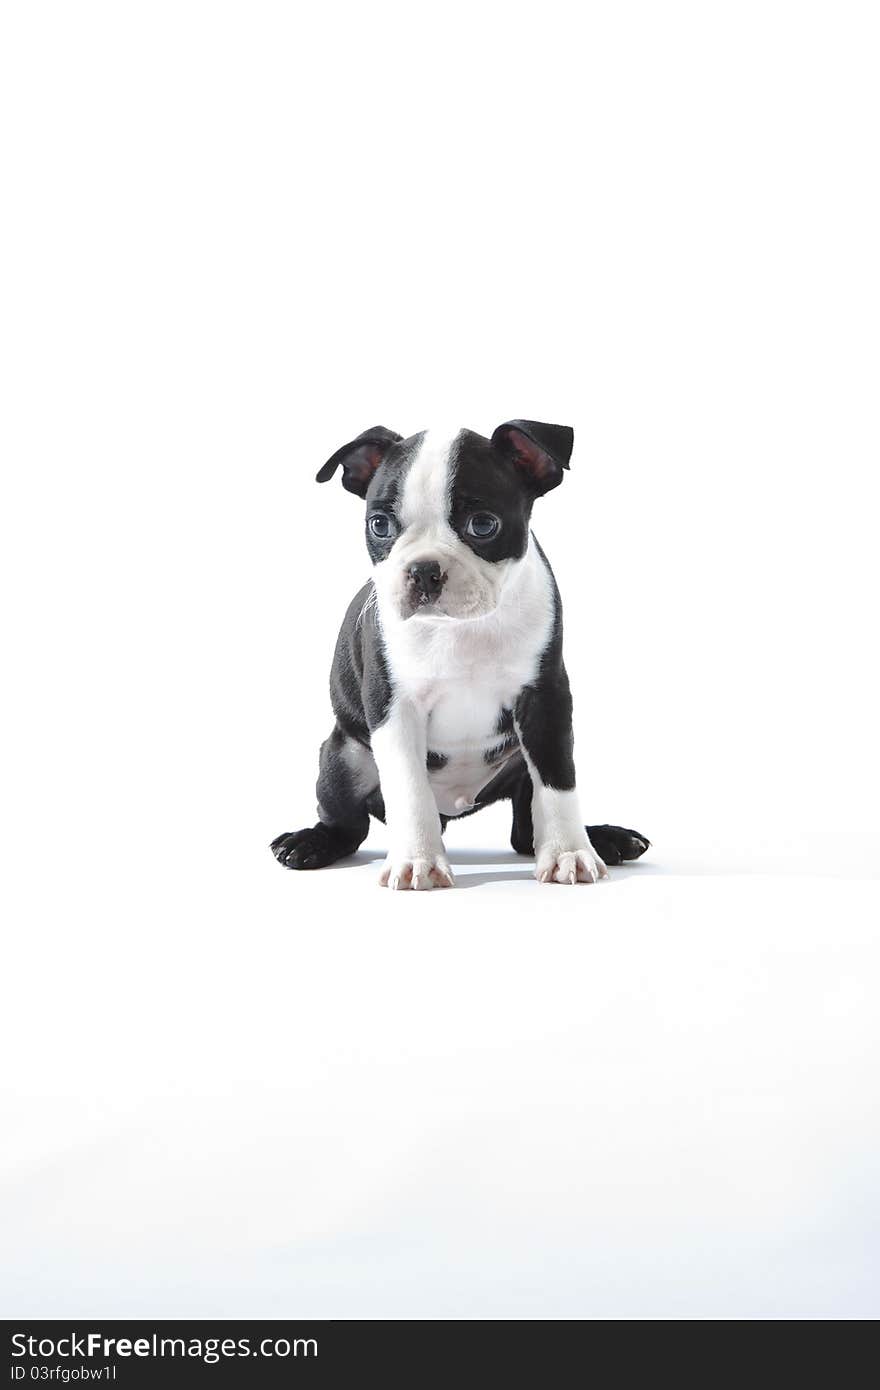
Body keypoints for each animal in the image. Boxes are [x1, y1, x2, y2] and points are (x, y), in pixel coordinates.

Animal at [271, 417, 647, 889]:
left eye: (482, 525)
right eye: (379, 525)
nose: (423, 570)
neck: (462, 628)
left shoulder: (545, 699)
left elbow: (558, 781)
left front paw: (569, 853)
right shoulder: (394, 707)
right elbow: (409, 787)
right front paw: (417, 859)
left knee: (525, 829)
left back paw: (605, 838)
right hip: (344, 757)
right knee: (348, 823)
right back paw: (311, 843)